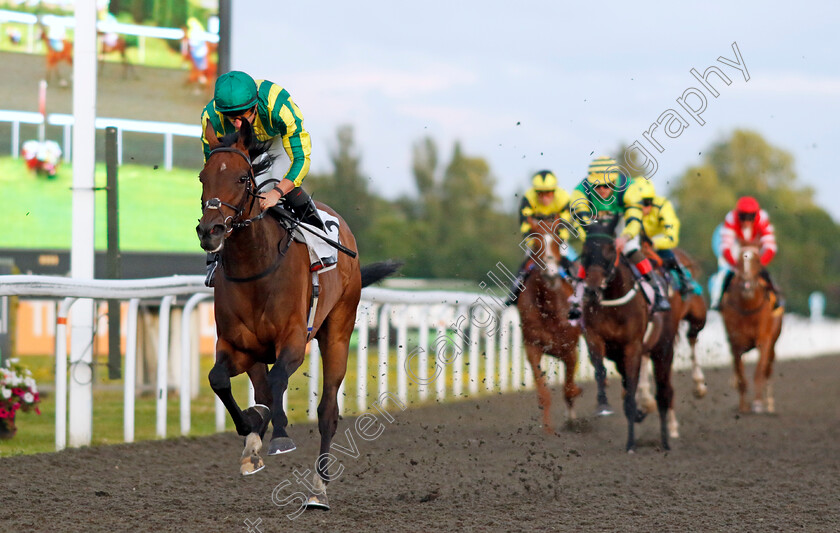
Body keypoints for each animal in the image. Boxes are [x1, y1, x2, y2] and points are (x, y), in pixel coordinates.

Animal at [195, 116, 398, 508]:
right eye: (202, 176)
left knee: (327, 412)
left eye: (242, 178)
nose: (210, 231)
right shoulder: (236, 346)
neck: (255, 267)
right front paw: (251, 428)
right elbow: (219, 380)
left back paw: (318, 490)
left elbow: (278, 383)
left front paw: (281, 437)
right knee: (260, 391)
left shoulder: (292, 341)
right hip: (257, 352)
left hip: (337, 332)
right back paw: (255, 438)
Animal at [516, 214, 580, 434]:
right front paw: (547, 429)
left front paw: (572, 418)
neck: (549, 306)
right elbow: (543, 392)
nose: (550, 274)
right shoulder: (532, 347)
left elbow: (569, 388)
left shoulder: (570, 349)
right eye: (535, 243)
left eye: (558, 241)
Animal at [580, 222, 680, 450]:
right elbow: (600, 371)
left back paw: (665, 441)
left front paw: (631, 444)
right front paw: (603, 405)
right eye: (584, 253)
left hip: (663, 349)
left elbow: (632, 393)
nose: (591, 291)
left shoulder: (633, 347)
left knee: (664, 393)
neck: (613, 302)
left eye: (610, 251)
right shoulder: (595, 339)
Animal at [720, 241, 784, 412]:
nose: (747, 285)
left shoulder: (764, 340)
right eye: (738, 260)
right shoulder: (736, 342)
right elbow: (740, 373)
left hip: (774, 340)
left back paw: (769, 403)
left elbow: (759, 371)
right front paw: (743, 406)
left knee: (768, 368)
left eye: (756, 259)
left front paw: (757, 403)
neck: (748, 307)